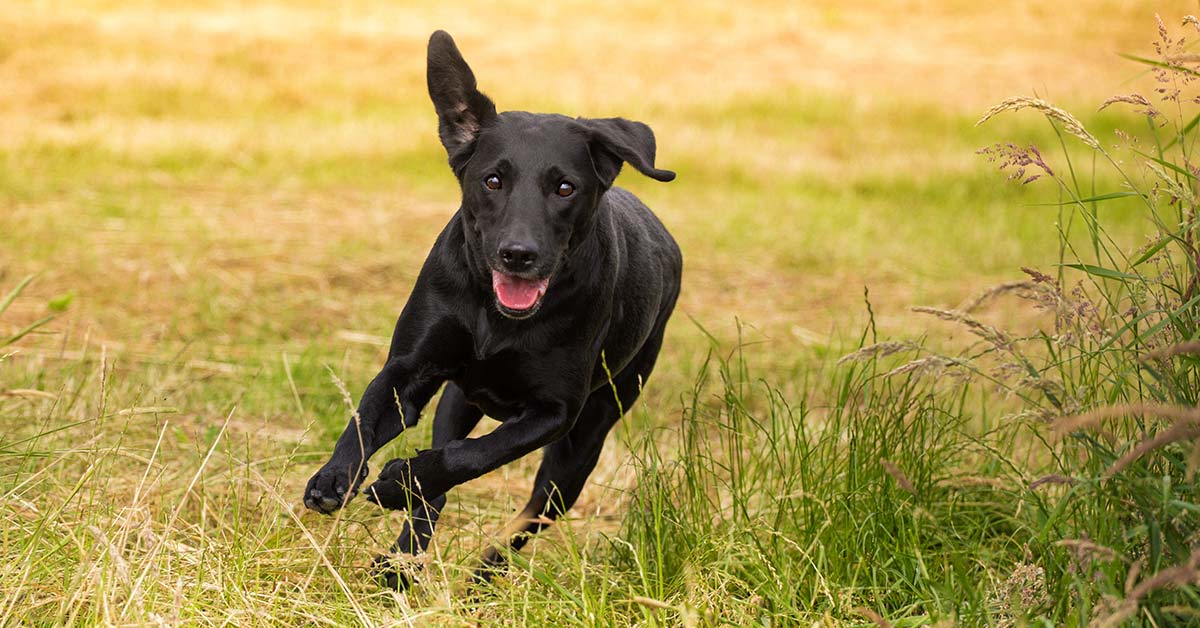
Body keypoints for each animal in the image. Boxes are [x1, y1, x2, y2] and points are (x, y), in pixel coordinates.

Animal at [304, 30, 681, 590]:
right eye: (493, 181)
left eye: (565, 187)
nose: (518, 254)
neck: (496, 318)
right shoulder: (411, 370)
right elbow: (367, 414)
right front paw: (334, 476)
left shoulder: (555, 413)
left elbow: (474, 456)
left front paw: (397, 481)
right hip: (458, 400)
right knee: (438, 483)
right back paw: (398, 564)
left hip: (588, 436)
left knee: (530, 513)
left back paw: (476, 571)